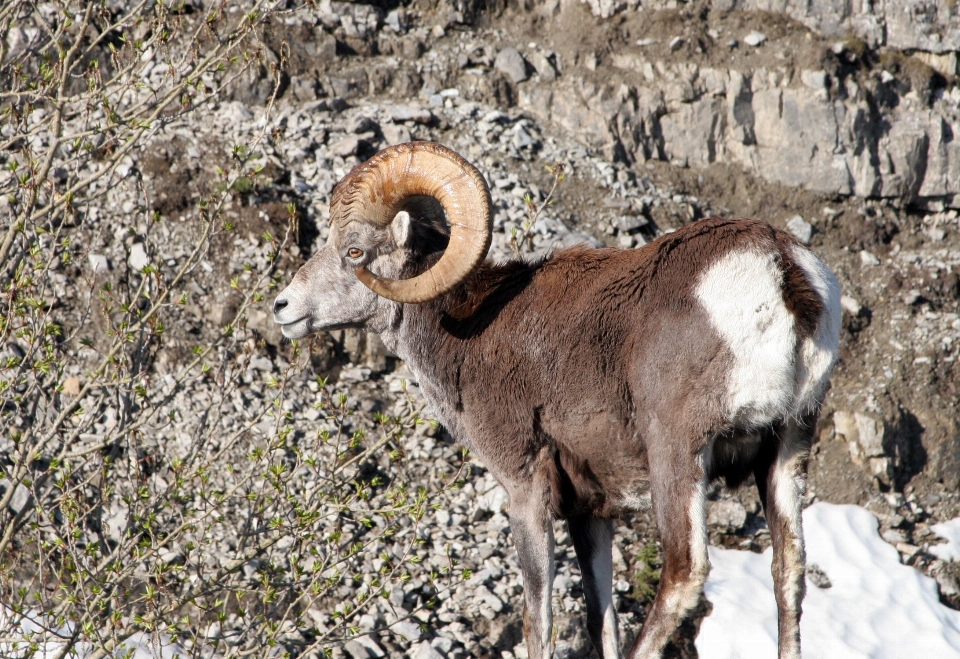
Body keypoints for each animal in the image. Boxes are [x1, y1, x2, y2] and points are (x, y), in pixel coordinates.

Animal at [272, 143, 840, 659]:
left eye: (355, 252)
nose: (282, 307)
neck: (470, 333)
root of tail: (780, 271)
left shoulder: (526, 489)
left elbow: (537, 618)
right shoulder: (590, 511)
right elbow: (600, 619)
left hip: (678, 455)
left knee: (685, 572)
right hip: (787, 447)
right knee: (788, 572)